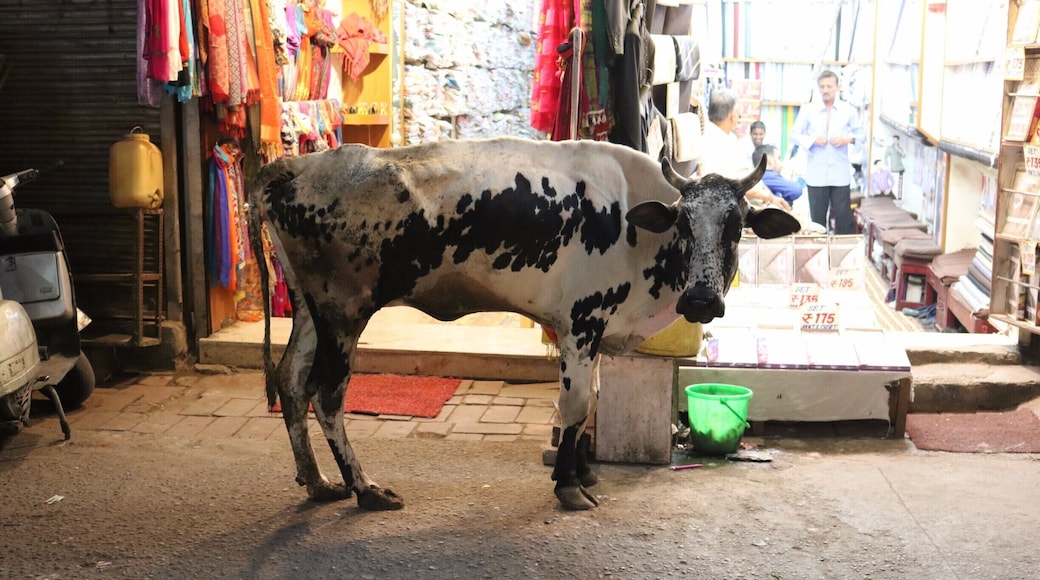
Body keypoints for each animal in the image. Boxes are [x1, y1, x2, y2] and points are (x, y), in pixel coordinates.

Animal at [247, 136, 800, 511]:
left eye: (737, 225)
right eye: (684, 222)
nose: (703, 299)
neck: (631, 220)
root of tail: (302, 164)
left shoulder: (591, 332)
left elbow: (587, 403)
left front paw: (582, 473)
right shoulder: (582, 321)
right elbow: (575, 406)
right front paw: (569, 487)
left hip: (309, 310)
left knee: (291, 381)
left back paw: (318, 482)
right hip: (343, 313)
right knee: (327, 395)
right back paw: (364, 488)